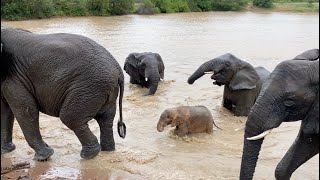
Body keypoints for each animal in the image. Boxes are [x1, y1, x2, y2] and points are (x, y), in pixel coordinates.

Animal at [1, 26, 126, 160]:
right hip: (103, 89)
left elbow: (26, 111)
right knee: (106, 119)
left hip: (89, 87)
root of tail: (118, 70)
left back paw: (89, 155)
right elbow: (5, 112)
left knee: (70, 118)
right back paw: (107, 150)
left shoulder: (14, 76)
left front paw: (42, 158)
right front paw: (5, 151)